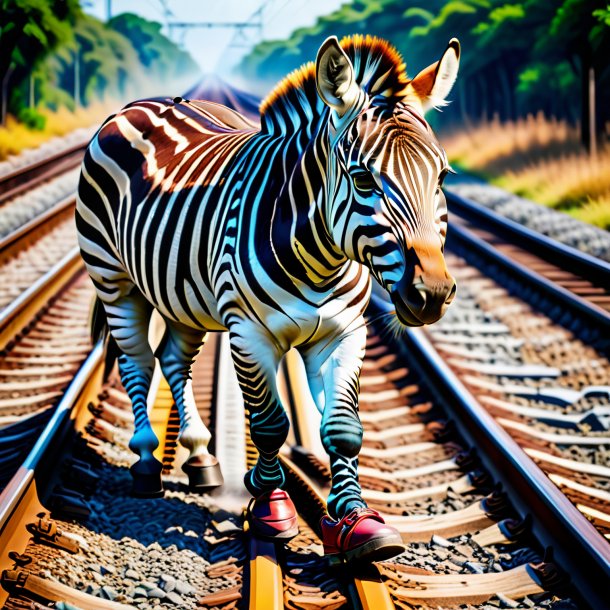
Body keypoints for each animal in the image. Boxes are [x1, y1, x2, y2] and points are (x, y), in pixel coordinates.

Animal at [76, 32, 456, 556]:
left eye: (441, 178)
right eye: (362, 178)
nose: (432, 294)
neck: (321, 259)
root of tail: (142, 103)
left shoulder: (345, 334)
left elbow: (342, 429)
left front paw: (357, 521)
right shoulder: (248, 334)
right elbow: (270, 423)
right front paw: (270, 507)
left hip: (183, 295)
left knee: (172, 359)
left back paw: (200, 456)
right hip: (113, 277)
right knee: (137, 362)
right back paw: (148, 461)